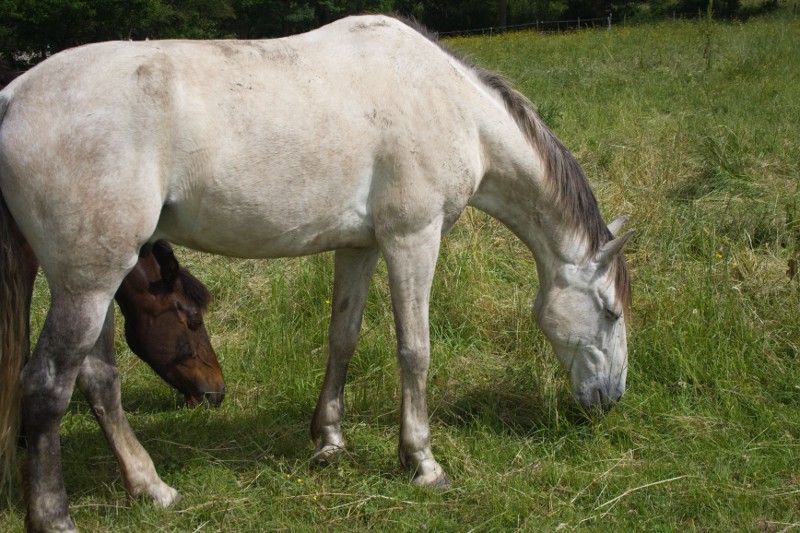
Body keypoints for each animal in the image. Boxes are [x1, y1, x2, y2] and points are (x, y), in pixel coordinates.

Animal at [0, 14, 632, 528]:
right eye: (610, 311)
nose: (610, 399)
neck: (451, 104)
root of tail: (12, 95)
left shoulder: (360, 246)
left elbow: (342, 337)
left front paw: (329, 441)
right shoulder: (413, 238)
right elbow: (415, 350)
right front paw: (422, 462)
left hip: (94, 279)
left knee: (99, 379)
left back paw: (151, 488)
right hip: (88, 281)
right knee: (48, 384)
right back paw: (54, 516)